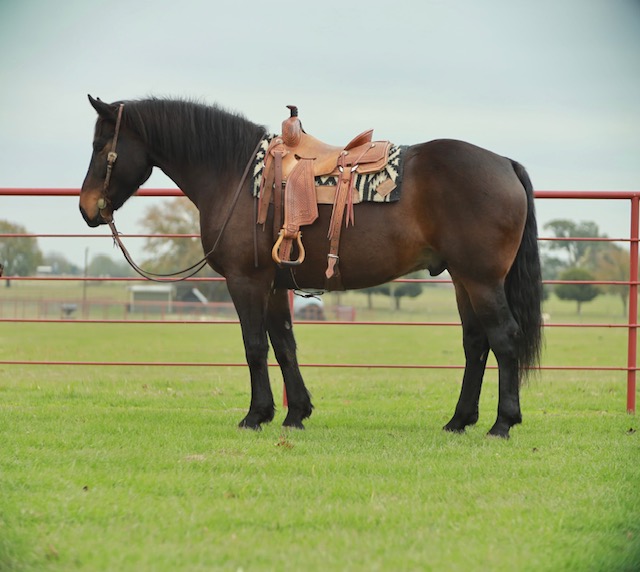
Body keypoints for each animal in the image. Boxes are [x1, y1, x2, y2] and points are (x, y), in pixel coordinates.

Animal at [79, 97, 540, 438]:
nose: (87, 208)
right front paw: (294, 413)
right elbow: (284, 345)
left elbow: (254, 346)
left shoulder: (246, 282)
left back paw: (502, 423)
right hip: (463, 281)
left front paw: (255, 415)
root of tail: (504, 163)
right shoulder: (272, 285)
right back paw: (459, 420)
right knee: (476, 344)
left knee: (504, 337)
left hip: (482, 281)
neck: (233, 174)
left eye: (101, 147)